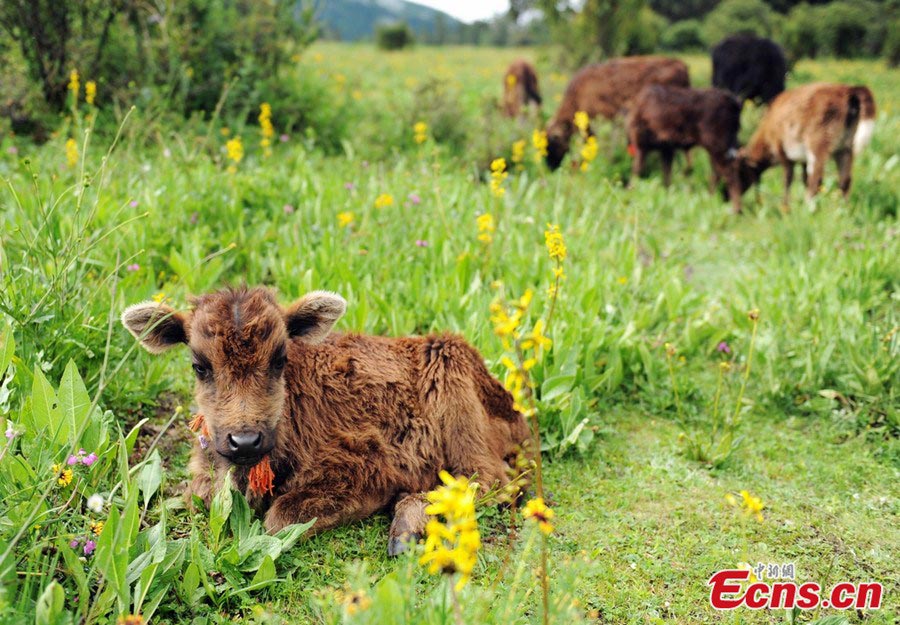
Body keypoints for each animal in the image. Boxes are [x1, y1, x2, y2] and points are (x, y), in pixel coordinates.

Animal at [119, 286, 528, 552]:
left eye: (280, 359)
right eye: (199, 366)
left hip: (456, 396)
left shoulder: (366, 463)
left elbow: (281, 517)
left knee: (490, 479)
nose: (246, 441)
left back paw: (404, 531)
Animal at [624, 84, 744, 213]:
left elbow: (636, 173)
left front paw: (629, 199)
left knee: (729, 173)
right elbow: (666, 178)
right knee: (719, 172)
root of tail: (735, 104)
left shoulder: (642, 146)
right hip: (724, 146)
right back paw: (711, 201)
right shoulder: (666, 149)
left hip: (717, 146)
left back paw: (735, 210)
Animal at [740, 82, 880, 205]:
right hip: (845, 147)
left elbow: (788, 179)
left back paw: (809, 207)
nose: (737, 208)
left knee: (816, 181)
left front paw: (785, 207)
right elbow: (804, 178)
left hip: (819, 143)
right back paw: (843, 208)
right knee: (844, 181)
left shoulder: (782, 151)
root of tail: (849, 91)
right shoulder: (803, 158)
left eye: (739, 173)